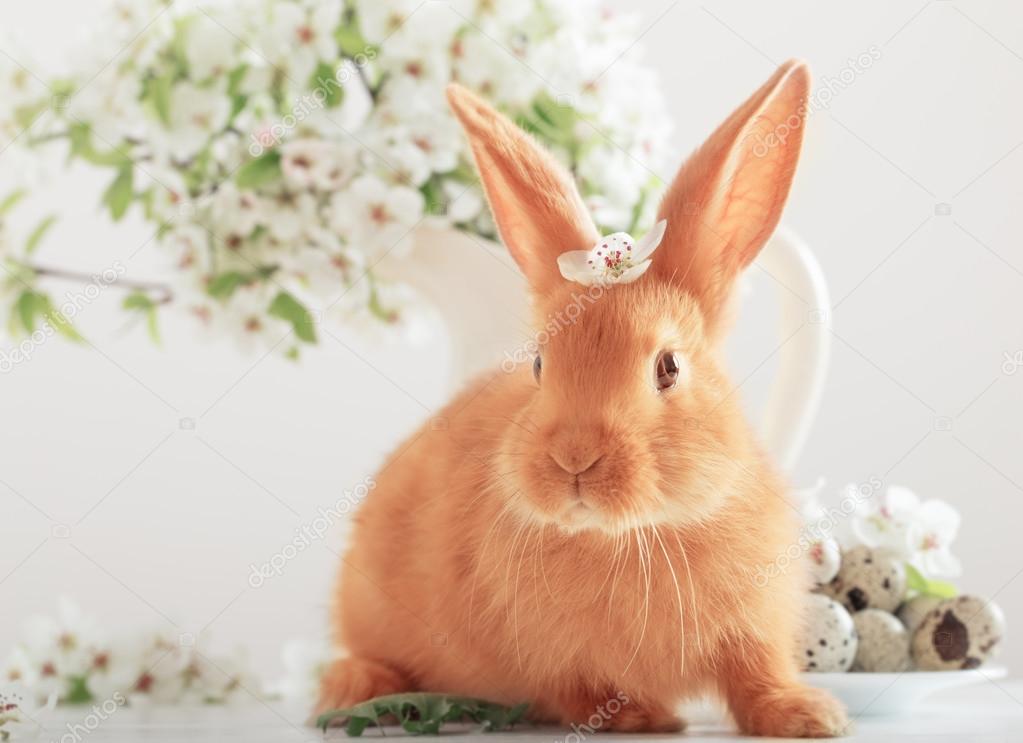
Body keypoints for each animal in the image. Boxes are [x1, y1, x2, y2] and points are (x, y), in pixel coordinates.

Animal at [319, 59, 847, 740]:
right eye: (539, 364)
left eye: (668, 367)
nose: (574, 458)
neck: (628, 537)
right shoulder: (548, 662)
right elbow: (580, 691)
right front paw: (646, 715)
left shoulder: (756, 623)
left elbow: (758, 674)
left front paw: (809, 715)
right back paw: (364, 689)